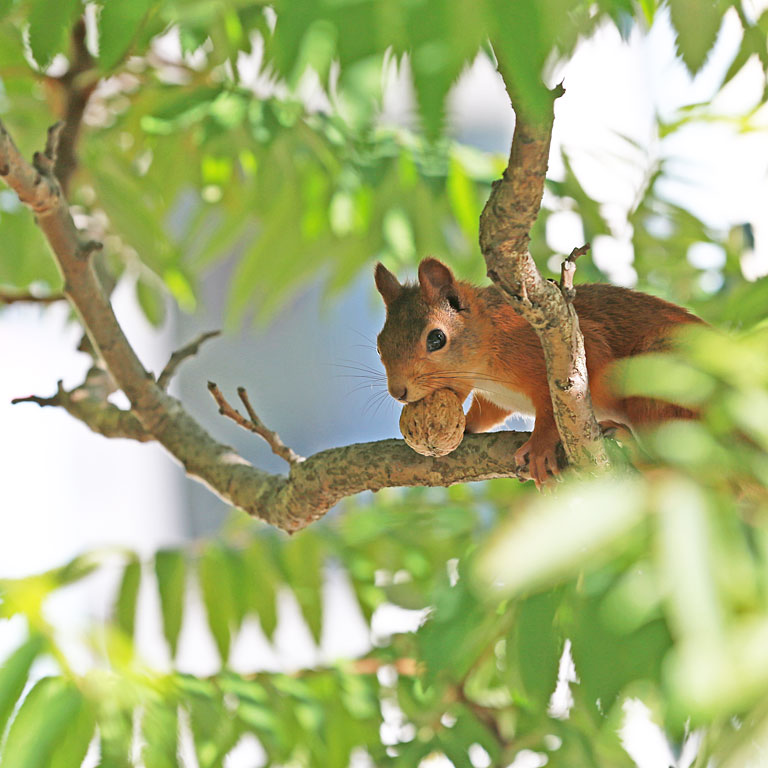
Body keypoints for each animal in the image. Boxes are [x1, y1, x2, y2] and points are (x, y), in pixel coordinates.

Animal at [376, 258, 704, 486]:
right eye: (380, 345)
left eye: (436, 339)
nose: (398, 392)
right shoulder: (494, 397)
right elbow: (487, 413)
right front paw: (466, 427)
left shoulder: (570, 349)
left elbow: (551, 410)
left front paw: (540, 446)